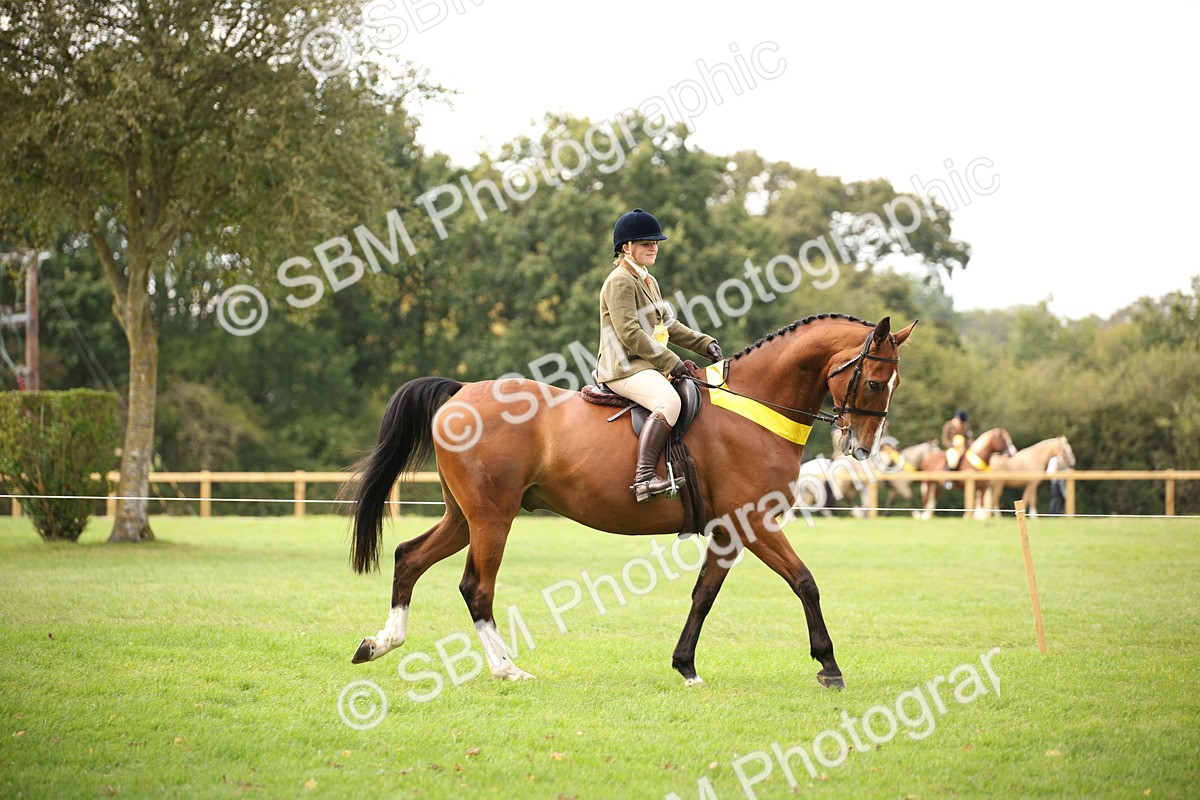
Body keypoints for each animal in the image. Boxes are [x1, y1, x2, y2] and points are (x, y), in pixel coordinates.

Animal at [343, 313, 917, 690]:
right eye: (873, 381)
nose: (862, 448)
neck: (757, 407)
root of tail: (462, 390)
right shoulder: (753, 522)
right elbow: (805, 583)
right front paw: (829, 666)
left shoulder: (729, 531)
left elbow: (703, 594)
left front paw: (685, 666)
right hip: (492, 517)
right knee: (475, 587)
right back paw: (506, 668)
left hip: (464, 516)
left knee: (409, 557)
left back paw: (380, 643)